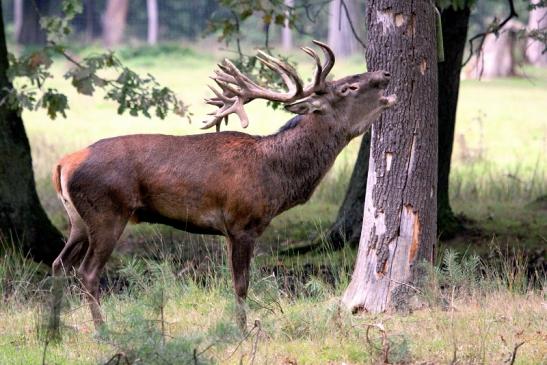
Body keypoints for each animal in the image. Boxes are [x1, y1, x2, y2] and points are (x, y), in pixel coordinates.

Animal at [51, 40, 398, 330]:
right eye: (349, 87)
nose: (385, 73)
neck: (278, 176)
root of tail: (63, 163)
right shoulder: (242, 222)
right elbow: (241, 284)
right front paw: (243, 332)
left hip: (78, 221)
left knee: (58, 264)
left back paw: (55, 331)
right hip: (107, 212)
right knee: (87, 271)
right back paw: (102, 331)